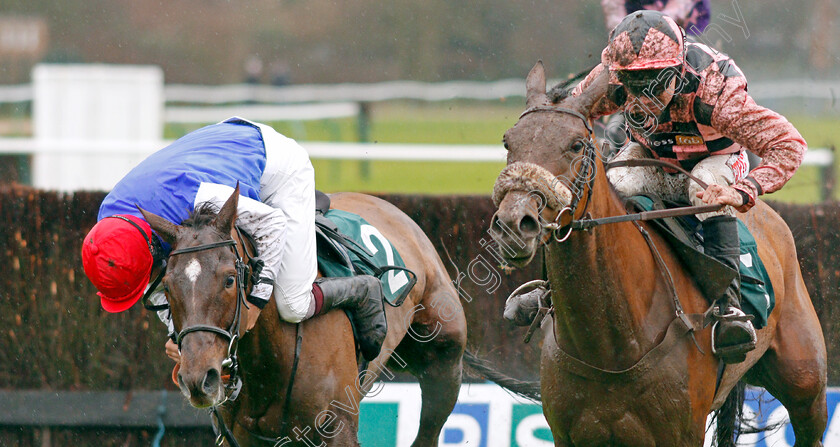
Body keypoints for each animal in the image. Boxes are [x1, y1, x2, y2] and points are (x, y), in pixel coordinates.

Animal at [138, 187, 466, 446]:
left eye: (230, 279)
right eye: (167, 286)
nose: (197, 379)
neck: (269, 358)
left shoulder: (338, 428)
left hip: (444, 361)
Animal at [488, 61, 832, 446]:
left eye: (576, 144)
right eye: (508, 141)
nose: (514, 224)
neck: (610, 345)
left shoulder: (681, 432)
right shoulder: (567, 433)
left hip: (805, 387)